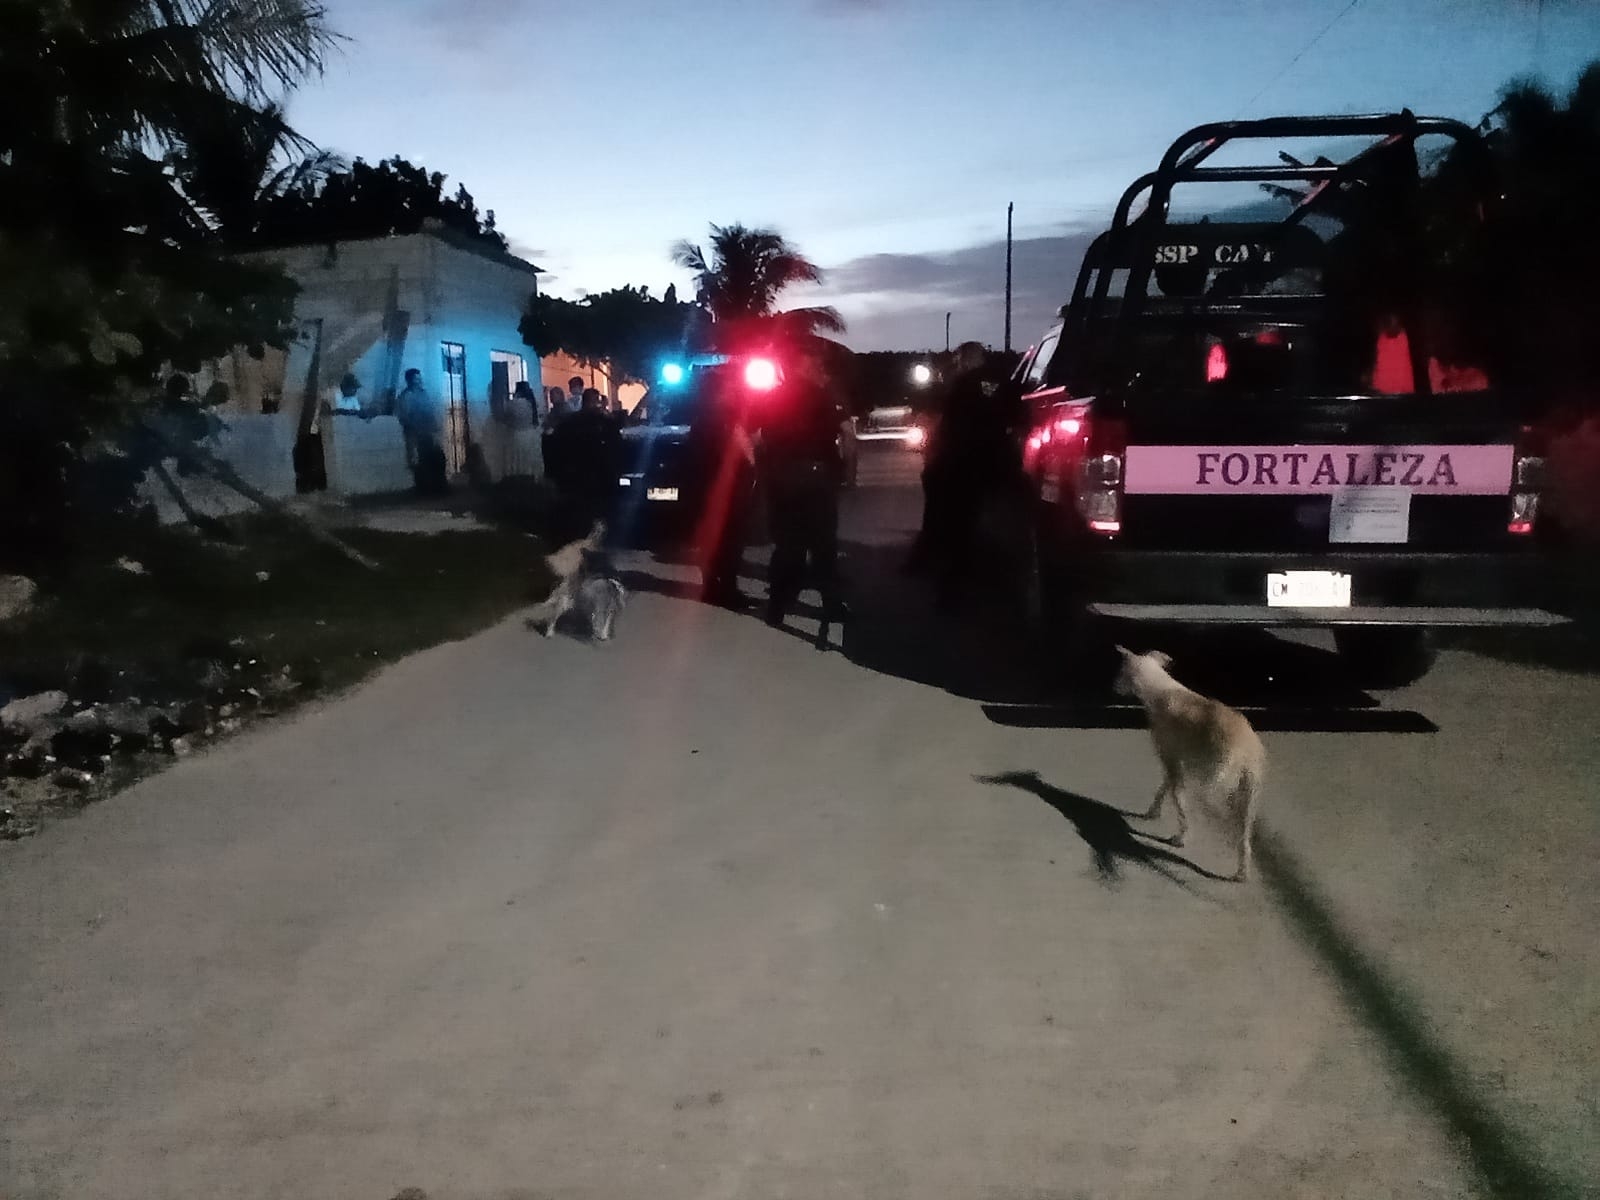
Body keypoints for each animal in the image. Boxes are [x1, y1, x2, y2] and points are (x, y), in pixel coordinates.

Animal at [1113, 649, 1260, 883]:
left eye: (1121, 671)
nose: (1113, 687)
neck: (1163, 690)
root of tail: (1244, 749)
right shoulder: (1174, 759)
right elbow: (1165, 787)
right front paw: (1153, 811)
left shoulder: (1171, 758)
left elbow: (1178, 799)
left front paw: (1179, 834)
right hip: (1248, 794)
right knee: (1244, 839)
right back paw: (1242, 873)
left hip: (1218, 787)